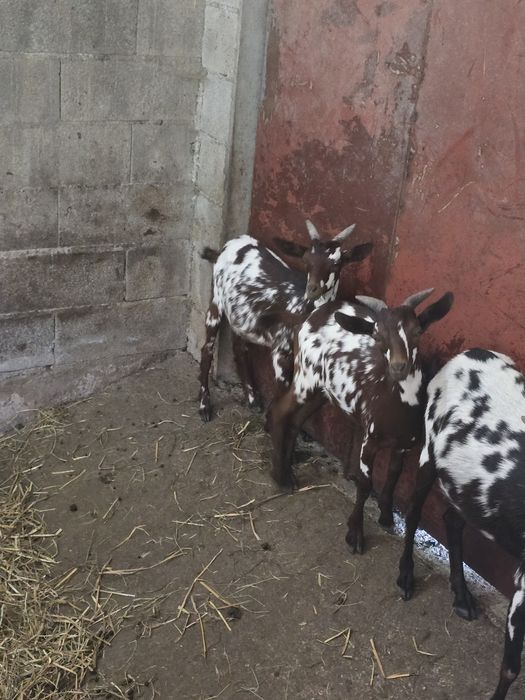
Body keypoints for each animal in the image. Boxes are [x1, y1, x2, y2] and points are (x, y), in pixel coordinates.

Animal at [198, 220, 373, 422]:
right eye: (306, 261)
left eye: (336, 264)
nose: (312, 289)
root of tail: (229, 245)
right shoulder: (280, 352)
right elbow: (283, 394)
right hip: (217, 300)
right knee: (207, 349)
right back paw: (204, 406)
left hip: (243, 316)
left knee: (240, 348)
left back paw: (252, 399)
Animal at [267, 289, 454, 553]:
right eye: (377, 335)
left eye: (417, 330)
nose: (399, 366)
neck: (397, 404)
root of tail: (313, 314)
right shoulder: (370, 440)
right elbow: (365, 483)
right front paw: (355, 533)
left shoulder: (405, 444)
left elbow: (393, 476)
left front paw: (386, 516)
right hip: (305, 376)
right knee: (280, 411)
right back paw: (280, 477)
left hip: (323, 389)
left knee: (296, 421)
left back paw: (289, 471)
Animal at [397, 348, 525, 700]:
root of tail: (469, 354)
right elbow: (510, 667)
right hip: (429, 451)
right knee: (414, 511)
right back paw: (405, 577)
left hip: (462, 485)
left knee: (453, 521)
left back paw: (462, 595)